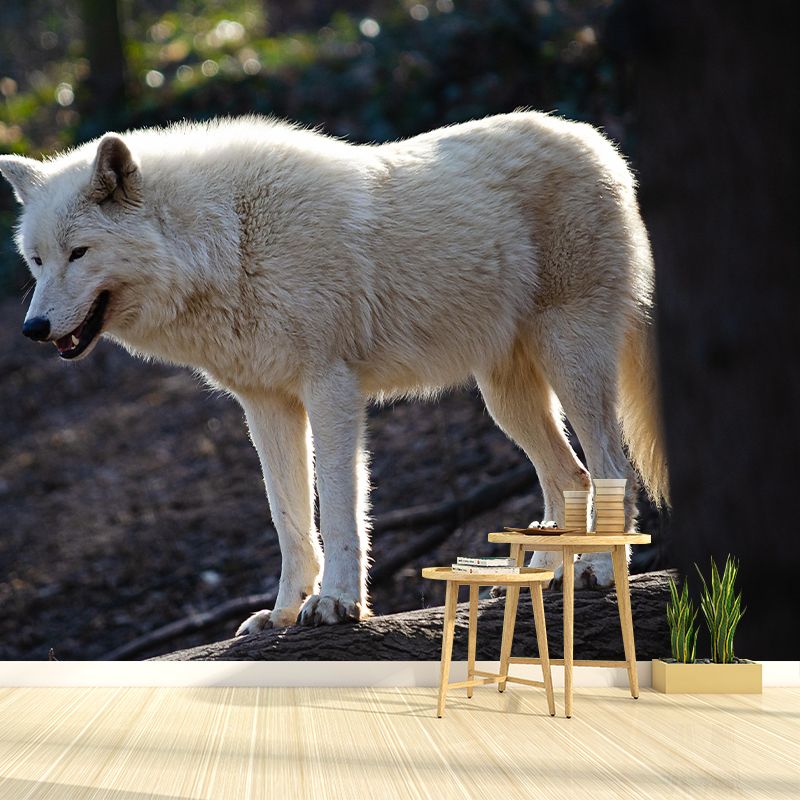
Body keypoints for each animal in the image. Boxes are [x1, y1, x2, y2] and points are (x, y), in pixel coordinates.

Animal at [0, 111, 668, 633]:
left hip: (569, 361)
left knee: (612, 468)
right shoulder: (265, 405)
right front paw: (282, 614)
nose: (33, 328)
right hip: (506, 399)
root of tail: (599, 143)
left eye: (79, 253)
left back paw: (599, 568)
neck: (229, 240)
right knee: (571, 475)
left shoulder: (332, 391)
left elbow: (340, 509)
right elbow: (289, 518)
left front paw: (339, 604)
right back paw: (545, 575)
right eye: (36, 260)